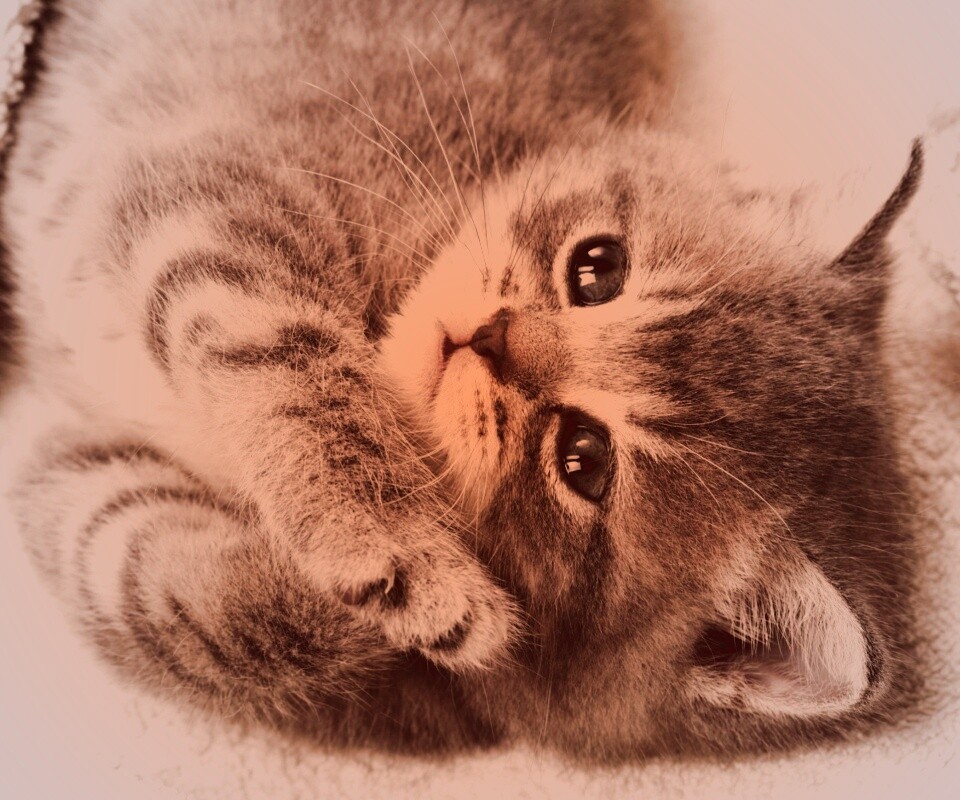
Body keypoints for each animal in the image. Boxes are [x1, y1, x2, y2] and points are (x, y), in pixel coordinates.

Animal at [1, 0, 924, 761]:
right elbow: (279, 351)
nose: (492, 338)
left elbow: (184, 602)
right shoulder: (212, 191)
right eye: (597, 267)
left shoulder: (75, 472)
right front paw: (394, 540)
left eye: (583, 459)